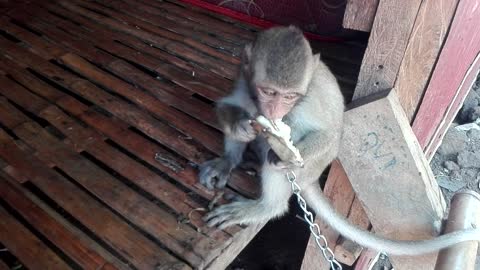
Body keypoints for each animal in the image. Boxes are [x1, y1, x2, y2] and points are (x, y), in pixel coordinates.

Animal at [197, 26, 480, 256]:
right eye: (269, 92)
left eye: (290, 96)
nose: (275, 111)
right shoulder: (244, 82)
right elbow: (228, 106)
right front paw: (240, 127)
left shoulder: (309, 103)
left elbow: (329, 137)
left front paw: (281, 153)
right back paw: (228, 162)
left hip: (307, 170)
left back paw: (267, 205)